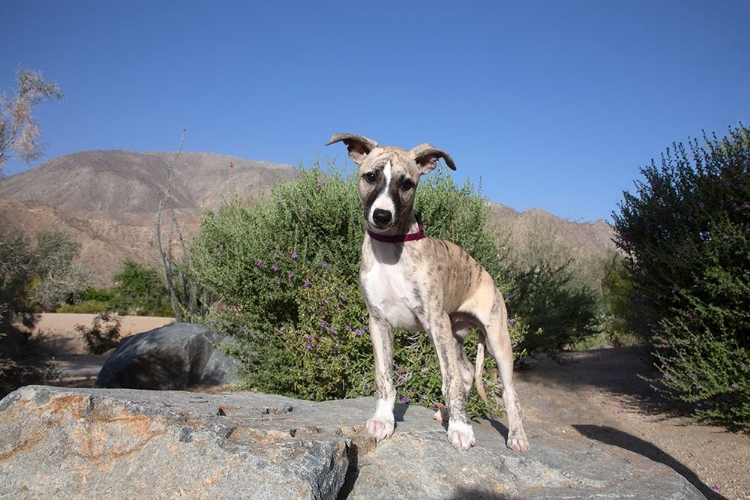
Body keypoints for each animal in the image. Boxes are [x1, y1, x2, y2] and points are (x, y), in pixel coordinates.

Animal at [326, 134, 532, 454]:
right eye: (370, 177)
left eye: (407, 183)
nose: (382, 216)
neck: (392, 249)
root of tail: (486, 274)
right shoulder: (378, 322)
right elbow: (384, 377)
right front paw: (383, 420)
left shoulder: (435, 321)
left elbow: (451, 382)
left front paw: (461, 428)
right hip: (455, 334)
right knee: (467, 372)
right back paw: (447, 413)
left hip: (495, 338)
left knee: (506, 391)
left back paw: (516, 435)